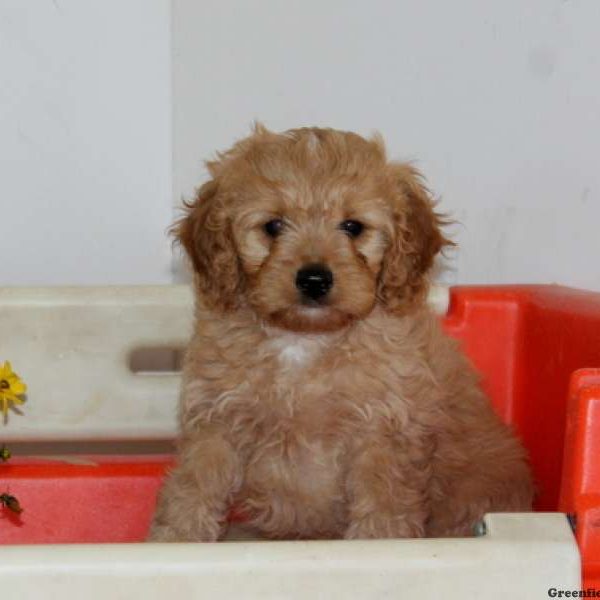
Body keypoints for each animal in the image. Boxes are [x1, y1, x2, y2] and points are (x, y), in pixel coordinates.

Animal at [148, 124, 532, 540]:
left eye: (353, 227)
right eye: (273, 226)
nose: (314, 279)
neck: (305, 339)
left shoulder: (382, 431)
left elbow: (382, 503)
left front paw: (376, 543)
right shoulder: (216, 421)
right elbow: (194, 485)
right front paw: (175, 539)